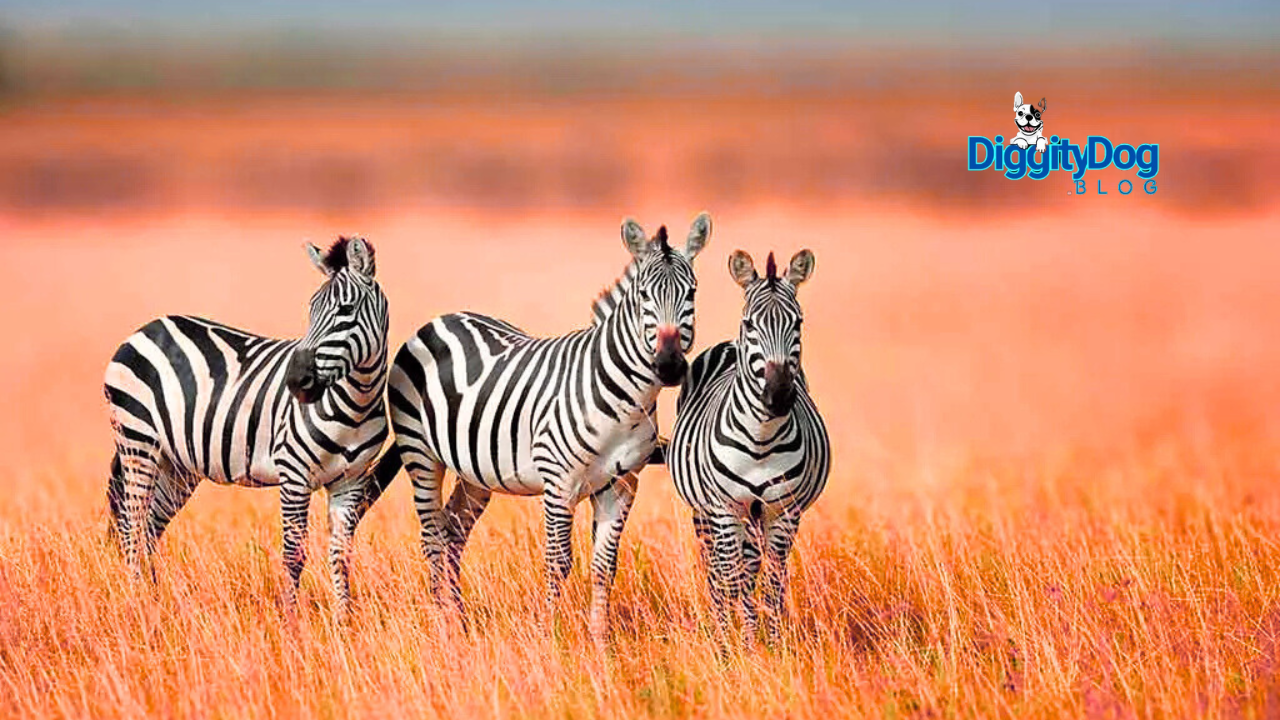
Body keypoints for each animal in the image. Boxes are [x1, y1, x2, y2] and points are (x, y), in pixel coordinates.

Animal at [104, 236, 390, 622]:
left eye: (346, 310)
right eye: (310, 310)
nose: (296, 382)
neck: (356, 403)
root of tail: (146, 328)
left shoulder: (351, 481)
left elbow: (341, 555)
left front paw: (343, 623)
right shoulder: (294, 474)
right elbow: (293, 555)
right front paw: (291, 623)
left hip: (176, 464)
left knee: (149, 529)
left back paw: (154, 603)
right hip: (138, 443)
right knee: (132, 527)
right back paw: (137, 605)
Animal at [375, 214, 711, 646]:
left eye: (692, 292)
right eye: (643, 296)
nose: (668, 365)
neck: (625, 399)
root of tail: (441, 319)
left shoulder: (621, 486)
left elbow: (605, 565)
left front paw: (599, 642)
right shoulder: (558, 482)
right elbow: (559, 561)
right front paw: (550, 635)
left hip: (475, 471)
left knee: (452, 532)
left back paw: (461, 623)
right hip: (421, 455)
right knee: (432, 537)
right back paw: (443, 627)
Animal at [666, 248, 829, 644]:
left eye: (798, 322)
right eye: (750, 323)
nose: (779, 396)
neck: (761, 438)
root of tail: (728, 342)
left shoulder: (784, 512)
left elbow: (772, 582)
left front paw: (770, 642)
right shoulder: (724, 508)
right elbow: (731, 577)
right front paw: (736, 644)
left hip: (757, 516)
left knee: (754, 567)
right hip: (706, 512)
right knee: (716, 570)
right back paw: (721, 626)